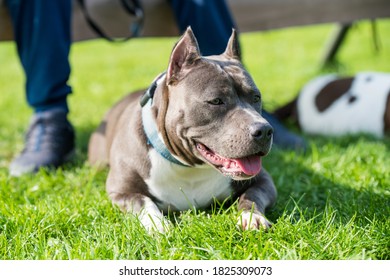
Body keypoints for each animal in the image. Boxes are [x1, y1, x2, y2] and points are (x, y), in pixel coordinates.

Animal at [88, 26, 278, 232]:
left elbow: (252, 196)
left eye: (256, 97)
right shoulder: (121, 191)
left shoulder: (264, 181)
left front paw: (251, 217)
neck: (188, 168)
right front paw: (157, 224)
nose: (264, 130)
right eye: (216, 101)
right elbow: (143, 202)